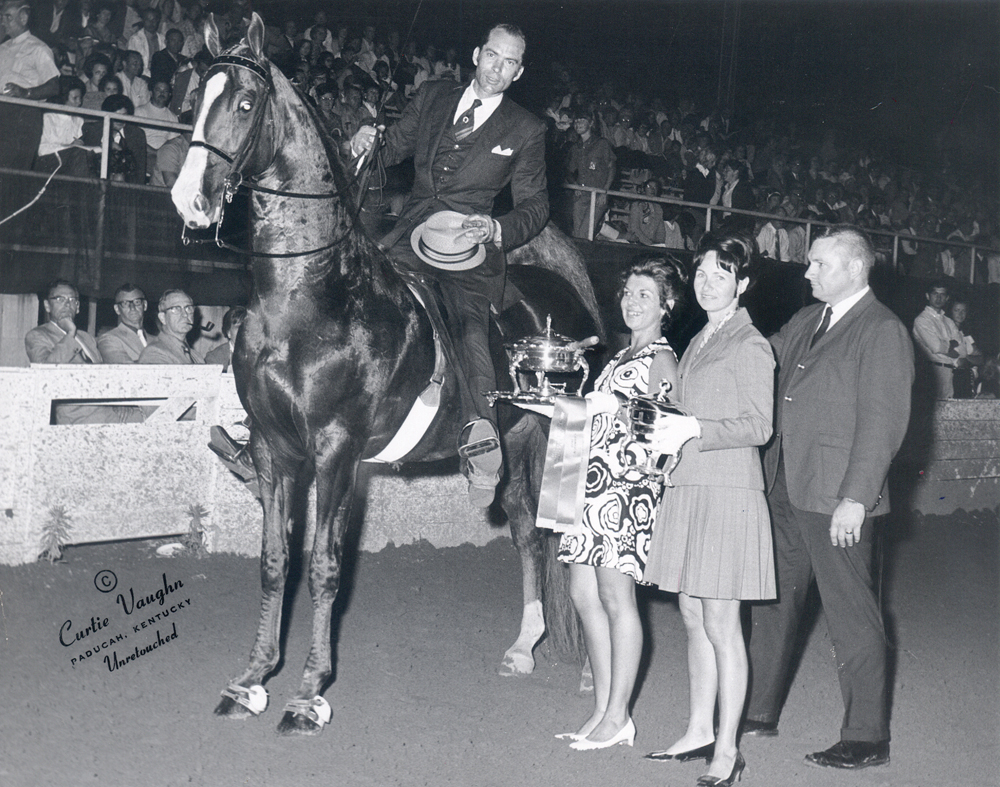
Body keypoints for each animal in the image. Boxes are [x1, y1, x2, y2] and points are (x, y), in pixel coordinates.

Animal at [170, 13, 600, 740]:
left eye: (246, 103)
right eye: (199, 93)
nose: (189, 199)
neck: (309, 296)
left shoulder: (336, 450)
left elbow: (323, 567)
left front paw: (308, 694)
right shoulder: (274, 448)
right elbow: (275, 561)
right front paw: (252, 679)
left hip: (552, 438)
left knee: (560, 533)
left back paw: (596, 671)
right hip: (517, 439)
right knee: (522, 524)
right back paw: (523, 645)